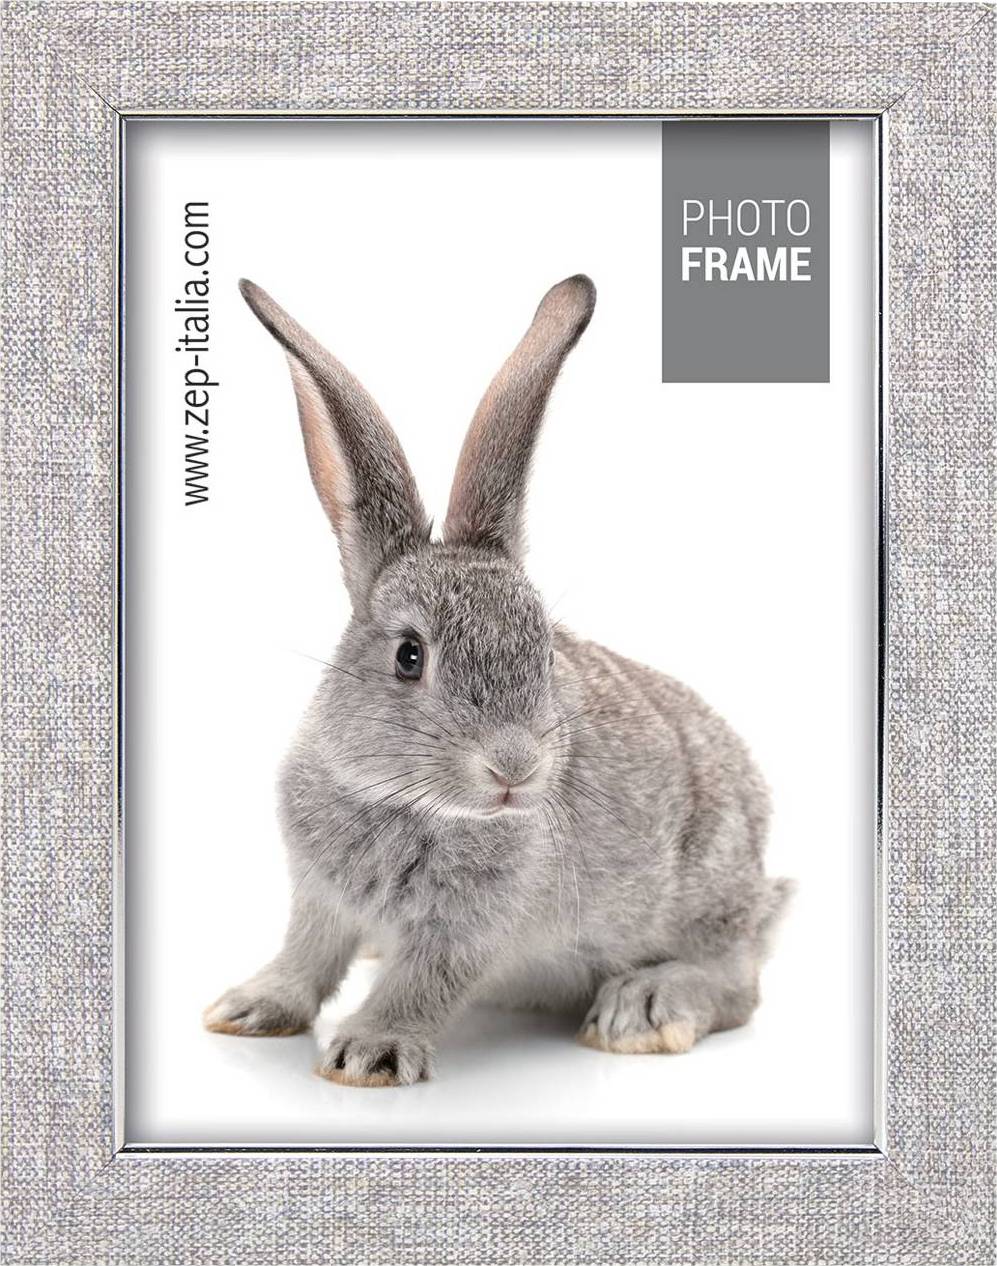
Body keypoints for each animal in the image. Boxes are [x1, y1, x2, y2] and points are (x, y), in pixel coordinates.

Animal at [203, 274, 792, 1087]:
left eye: (543, 653)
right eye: (409, 655)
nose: (515, 767)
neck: (407, 803)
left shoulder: (469, 929)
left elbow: (421, 982)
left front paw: (368, 1052)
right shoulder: (319, 898)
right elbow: (307, 956)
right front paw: (250, 1009)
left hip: (706, 891)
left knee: (737, 980)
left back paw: (643, 1009)